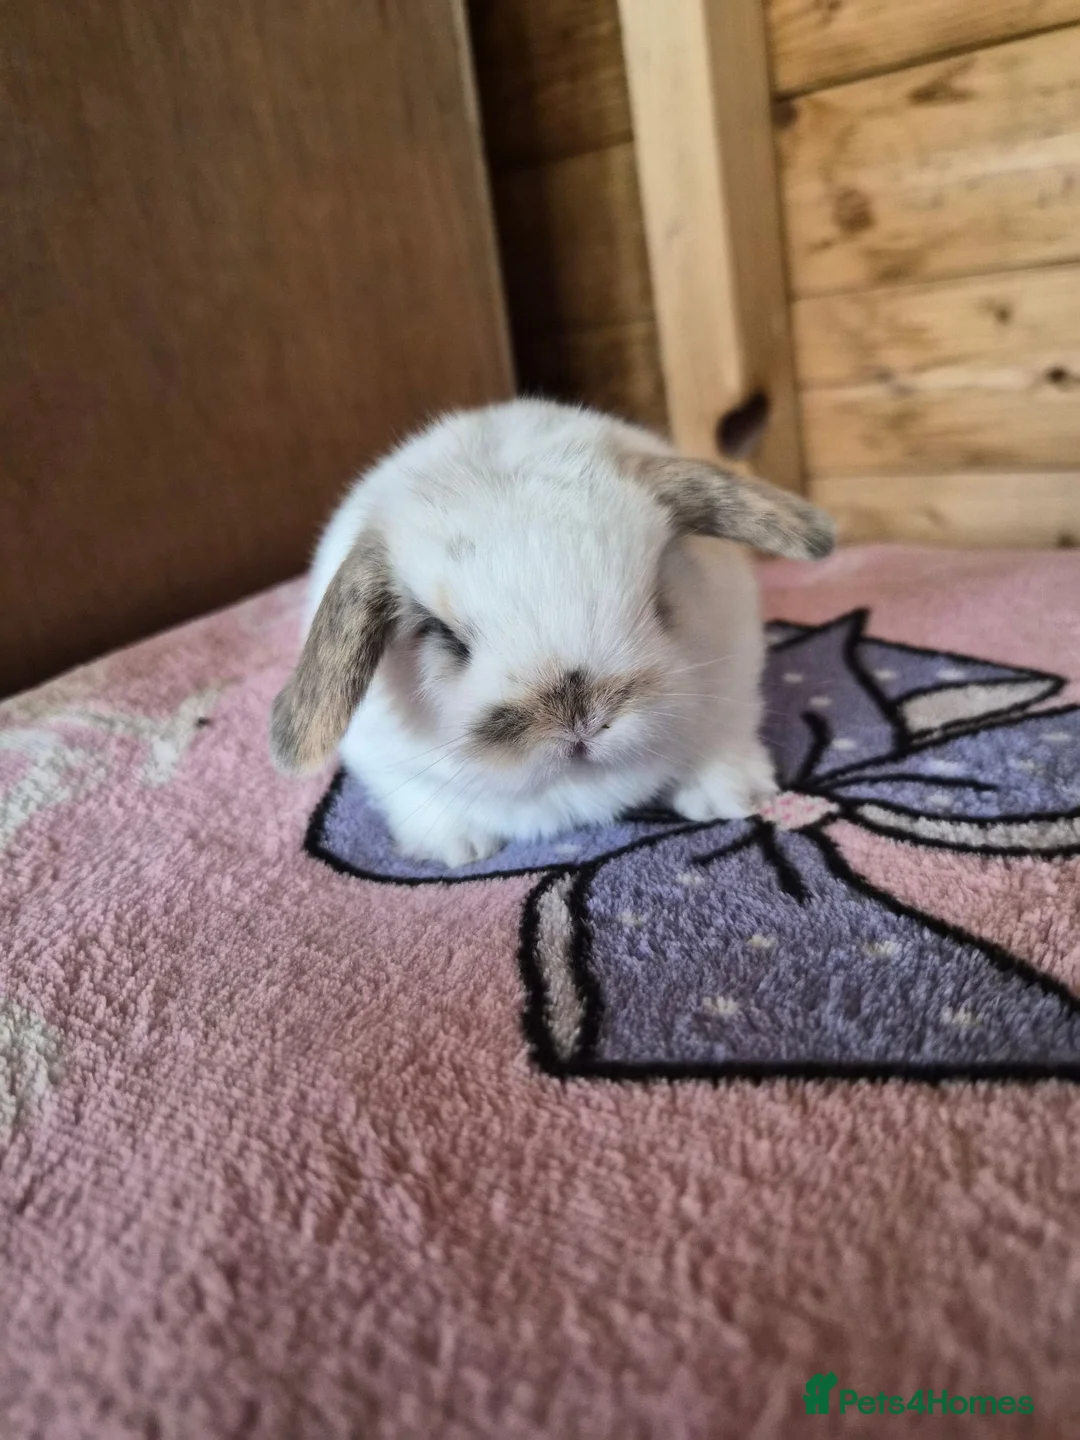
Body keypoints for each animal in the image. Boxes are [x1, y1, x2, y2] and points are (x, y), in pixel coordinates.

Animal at [270, 399, 834, 868]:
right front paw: (457, 850)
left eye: (656, 596)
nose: (580, 723)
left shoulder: (734, 693)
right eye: (444, 636)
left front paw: (732, 799)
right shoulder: (386, 765)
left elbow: (723, 745)